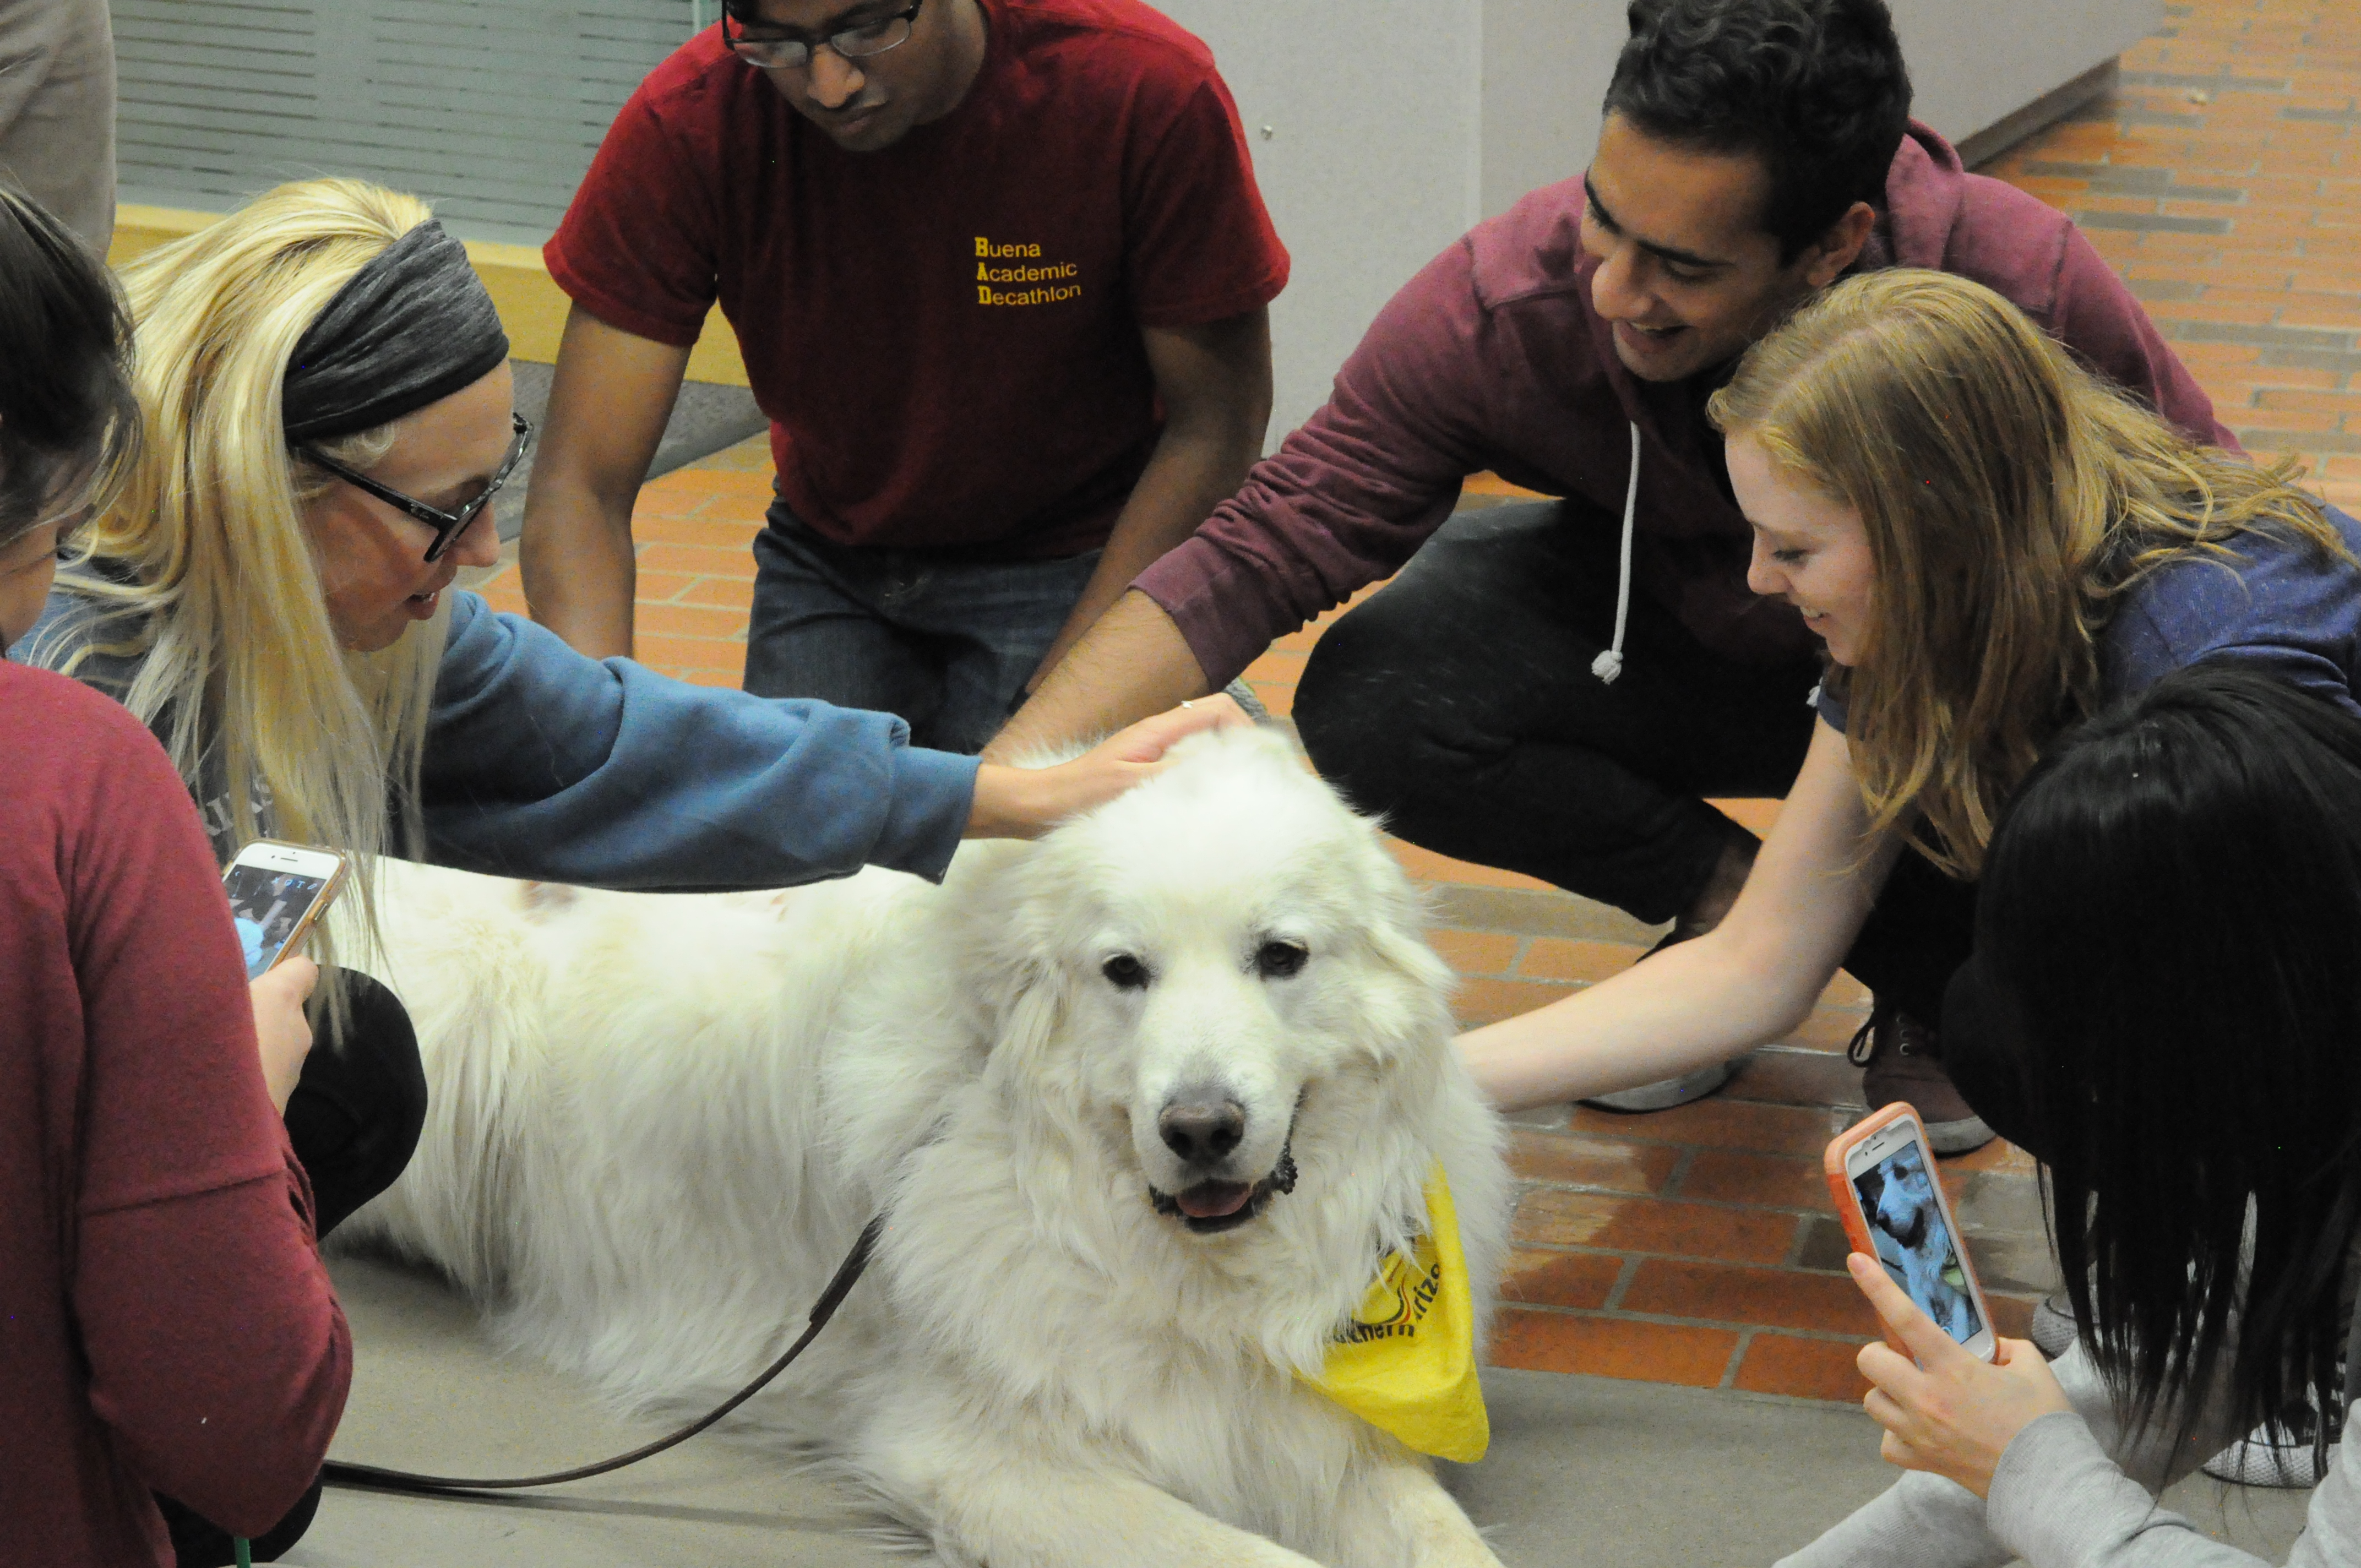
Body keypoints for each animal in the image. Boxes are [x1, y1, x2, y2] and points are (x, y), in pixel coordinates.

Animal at [338, 732, 1511, 1567]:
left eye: (1280, 955)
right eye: (1123, 970)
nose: (1199, 1129)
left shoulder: (1321, 1428)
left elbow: (1441, 1537)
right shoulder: (979, 1453)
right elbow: (1243, 1556)